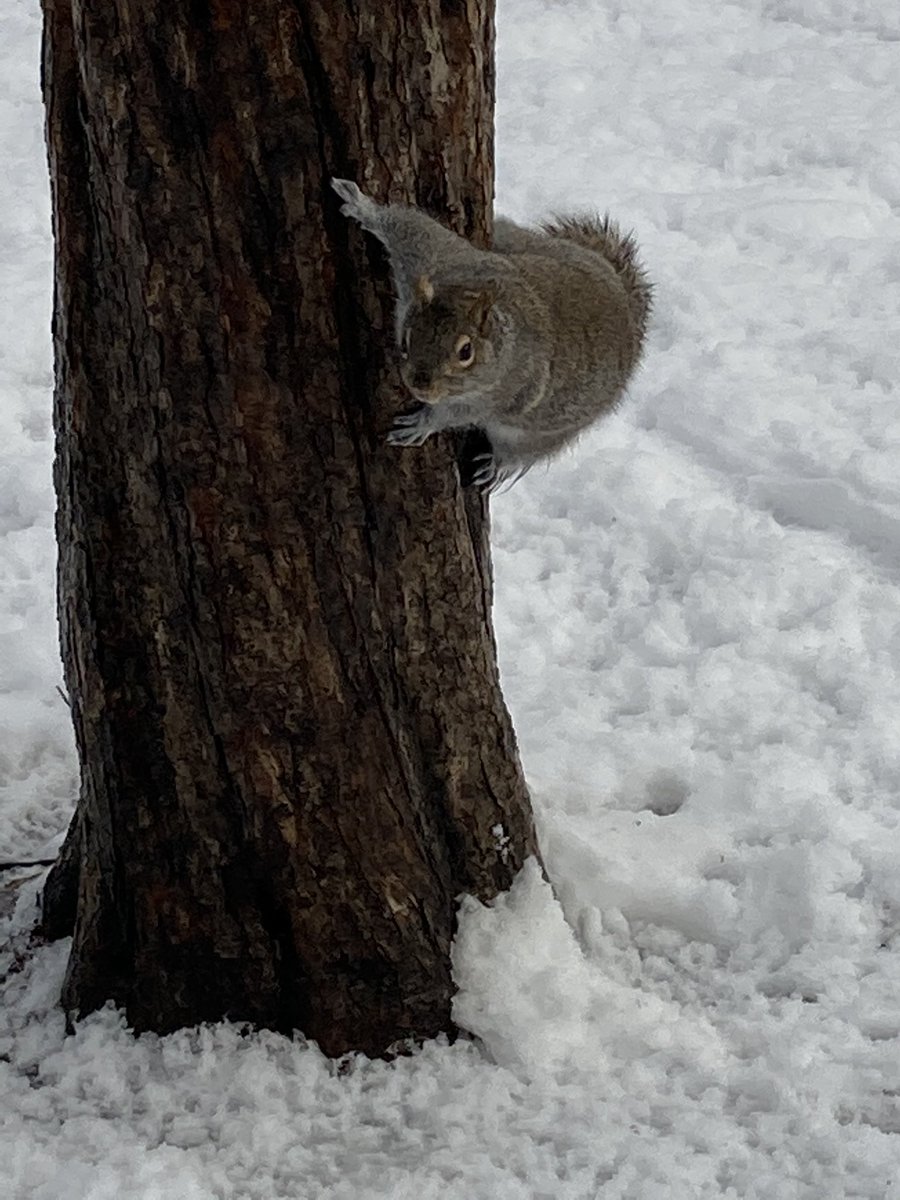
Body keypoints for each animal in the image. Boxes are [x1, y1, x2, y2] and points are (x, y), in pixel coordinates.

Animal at [331, 178, 652, 489]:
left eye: (466, 352)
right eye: (407, 337)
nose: (421, 385)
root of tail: (626, 304)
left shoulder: (500, 391)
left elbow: (457, 414)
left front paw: (423, 424)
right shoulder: (433, 258)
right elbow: (409, 226)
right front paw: (362, 207)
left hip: (544, 434)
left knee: (523, 452)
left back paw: (497, 465)